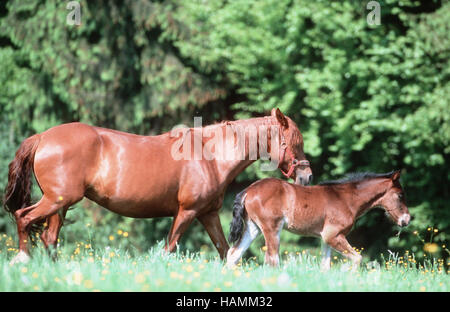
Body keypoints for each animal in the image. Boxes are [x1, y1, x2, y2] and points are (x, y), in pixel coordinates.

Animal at [4, 108, 312, 264]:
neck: (210, 156)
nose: (307, 177)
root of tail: (43, 137)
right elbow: (169, 248)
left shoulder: (208, 214)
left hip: (60, 205)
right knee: (23, 218)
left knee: (49, 238)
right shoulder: (187, 212)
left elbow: (226, 251)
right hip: (57, 201)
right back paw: (22, 260)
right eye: (294, 141)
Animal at [227, 169, 410, 270]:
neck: (346, 199)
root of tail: (249, 190)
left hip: (253, 228)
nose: (406, 219)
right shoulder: (333, 236)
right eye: (400, 195)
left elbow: (325, 266)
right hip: (272, 229)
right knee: (271, 259)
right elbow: (357, 258)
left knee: (233, 253)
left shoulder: (326, 239)